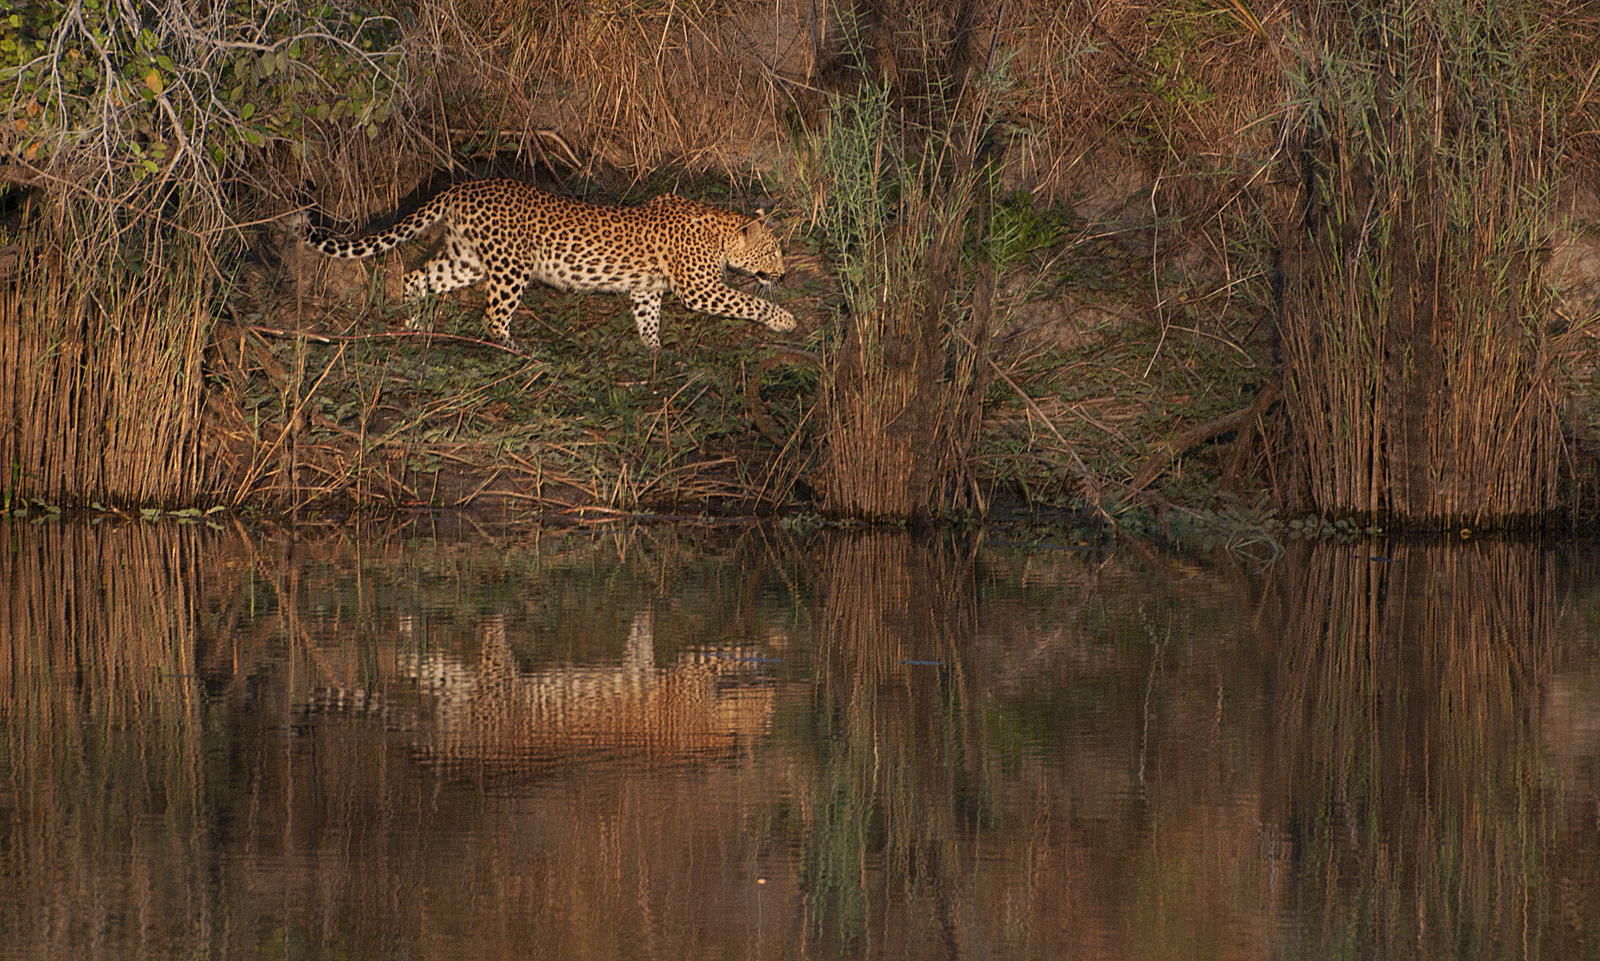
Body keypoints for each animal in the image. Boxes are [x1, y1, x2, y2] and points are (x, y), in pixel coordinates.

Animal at [297, 179, 796, 351]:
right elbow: (747, 301)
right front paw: (784, 319)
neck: (720, 233)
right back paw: (511, 347)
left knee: (418, 276)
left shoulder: (645, 289)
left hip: (466, 259)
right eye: (773, 251)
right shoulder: (700, 289)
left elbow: (648, 317)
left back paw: (416, 326)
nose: (784, 273)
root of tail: (463, 187)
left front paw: (653, 349)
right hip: (510, 266)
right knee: (492, 313)